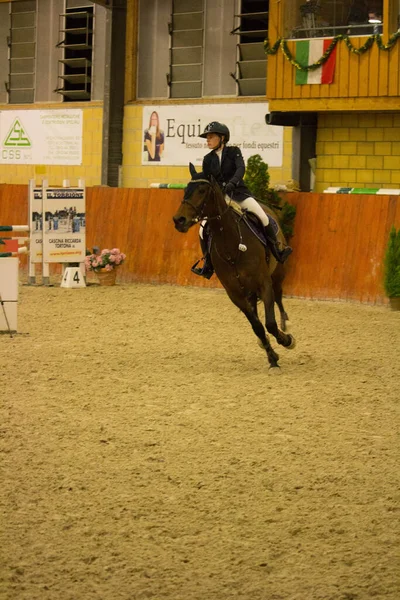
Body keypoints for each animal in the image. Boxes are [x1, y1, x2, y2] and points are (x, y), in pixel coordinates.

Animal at [171, 164, 294, 370]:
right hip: (248, 290)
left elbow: (269, 323)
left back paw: (286, 323)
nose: (178, 220)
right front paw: (272, 356)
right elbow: (257, 326)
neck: (231, 243)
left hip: (277, 273)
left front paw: (286, 340)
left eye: (202, 190)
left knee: (278, 297)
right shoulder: (235, 293)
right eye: (185, 189)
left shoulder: (264, 283)